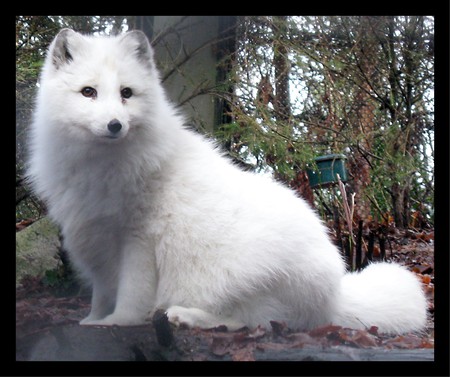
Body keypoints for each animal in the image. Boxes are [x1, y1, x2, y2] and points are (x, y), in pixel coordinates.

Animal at [26, 30, 428, 334]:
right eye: (88, 92)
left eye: (126, 93)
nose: (114, 125)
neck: (102, 166)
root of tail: (335, 297)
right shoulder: (96, 238)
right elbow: (100, 293)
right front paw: (93, 319)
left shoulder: (138, 241)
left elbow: (130, 296)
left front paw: (117, 323)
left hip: (242, 275)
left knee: (252, 323)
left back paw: (184, 316)